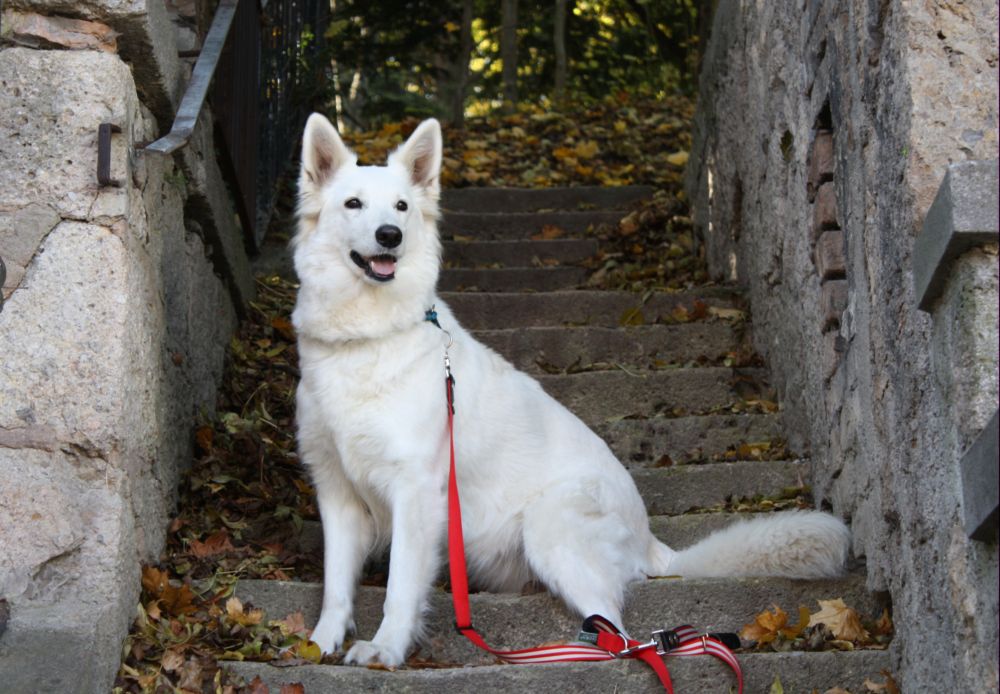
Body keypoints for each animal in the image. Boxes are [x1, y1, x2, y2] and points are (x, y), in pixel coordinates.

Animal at [290, 113, 851, 667]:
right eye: (353, 204)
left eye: (402, 207)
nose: (389, 236)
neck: (366, 337)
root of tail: (650, 541)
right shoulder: (337, 495)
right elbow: (335, 585)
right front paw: (319, 642)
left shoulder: (416, 493)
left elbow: (400, 586)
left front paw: (385, 648)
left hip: (550, 523)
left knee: (622, 634)